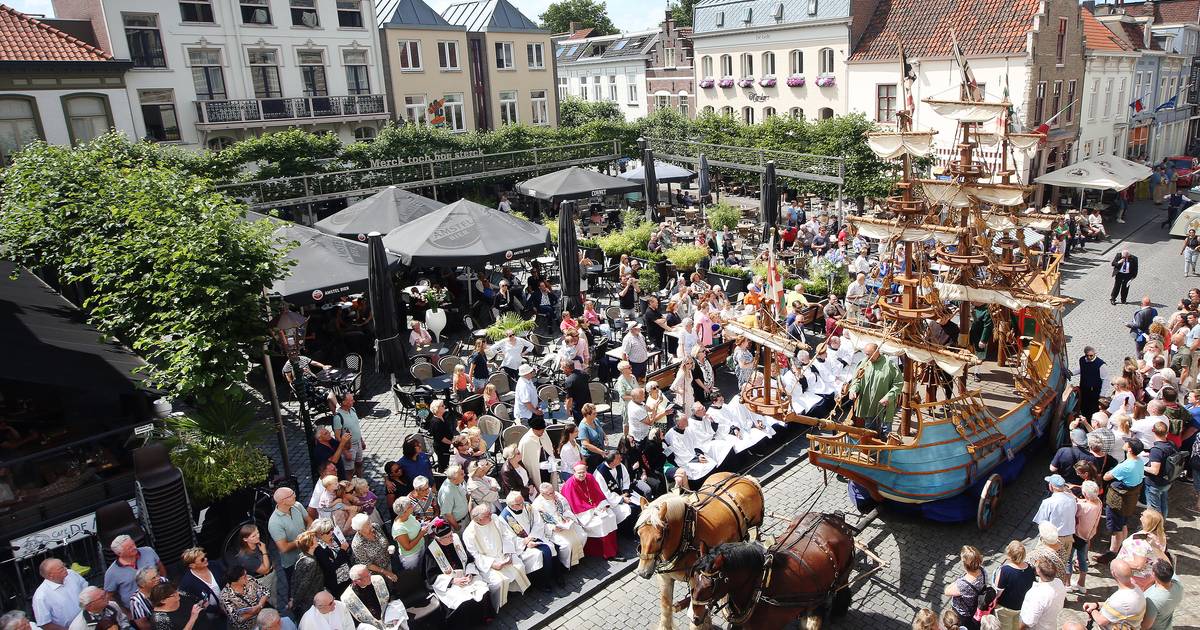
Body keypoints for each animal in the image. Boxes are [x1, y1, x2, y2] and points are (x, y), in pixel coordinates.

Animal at [633, 470, 763, 628]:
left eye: (658, 538)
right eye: (639, 533)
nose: (642, 572)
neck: (686, 535)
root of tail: (744, 478)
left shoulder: (698, 580)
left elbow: (697, 613)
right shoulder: (664, 578)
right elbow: (666, 607)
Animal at [686, 511, 854, 628]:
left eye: (710, 586)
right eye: (692, 580)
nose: (694, 618)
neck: (758, 587)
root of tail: (835, 518)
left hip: (842, 576)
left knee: (842, 589)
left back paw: (838, 611)